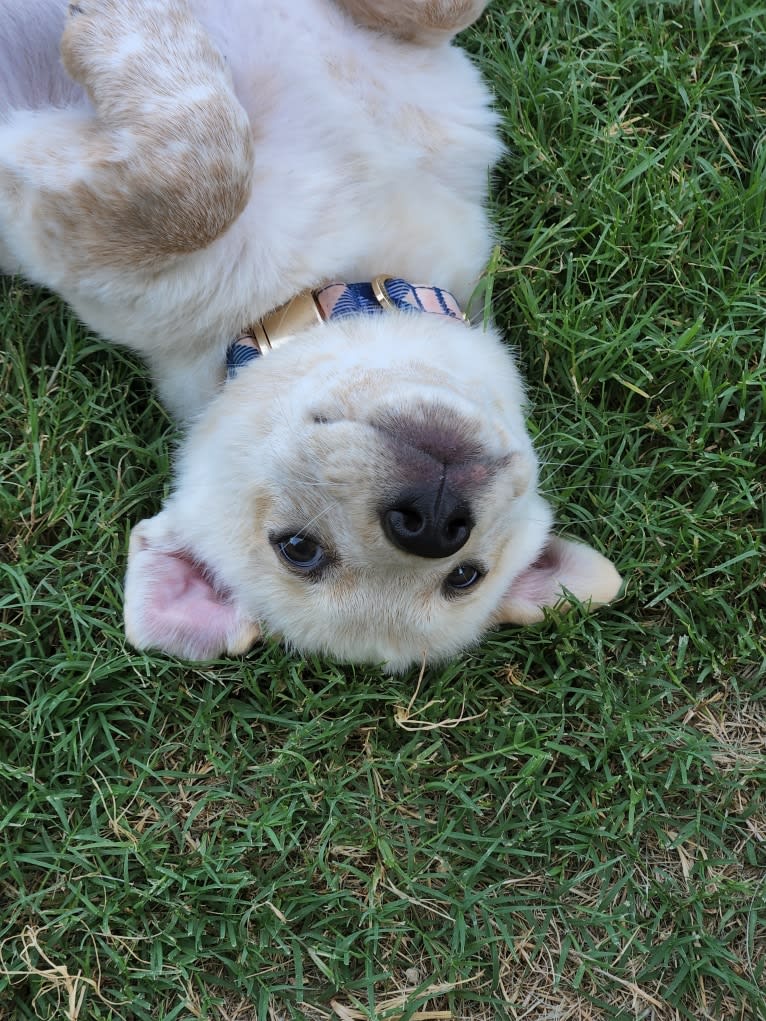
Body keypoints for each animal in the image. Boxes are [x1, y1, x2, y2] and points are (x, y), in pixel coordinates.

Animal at [0, 0, 625, 669]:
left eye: (464, 577)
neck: (334, 279)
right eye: (299, 550)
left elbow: (200, 185)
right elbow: (201, 185)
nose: (431, 523)